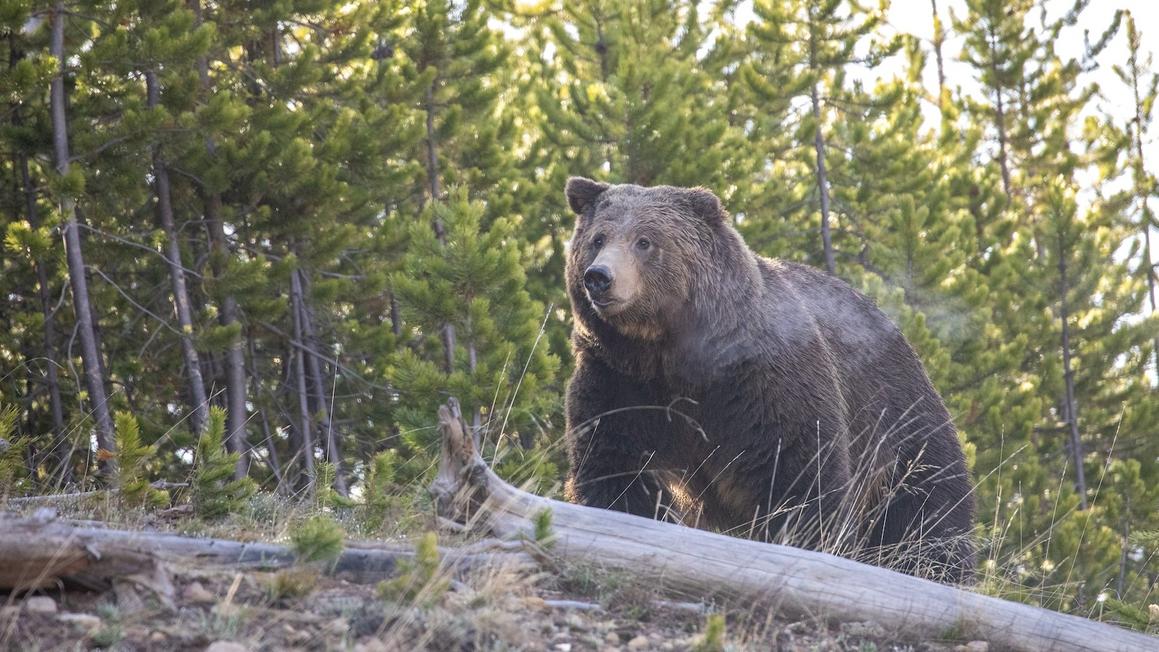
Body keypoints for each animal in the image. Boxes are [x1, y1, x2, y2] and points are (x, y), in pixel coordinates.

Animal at [562, 177, 975, 584]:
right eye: (597, 238)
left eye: (645, 240)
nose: (599, 277)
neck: (668, 353)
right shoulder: (620, 380)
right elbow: (615, 462)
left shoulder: (761, 380)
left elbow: (796, 471)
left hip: (898, 416)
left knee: (927, 506)